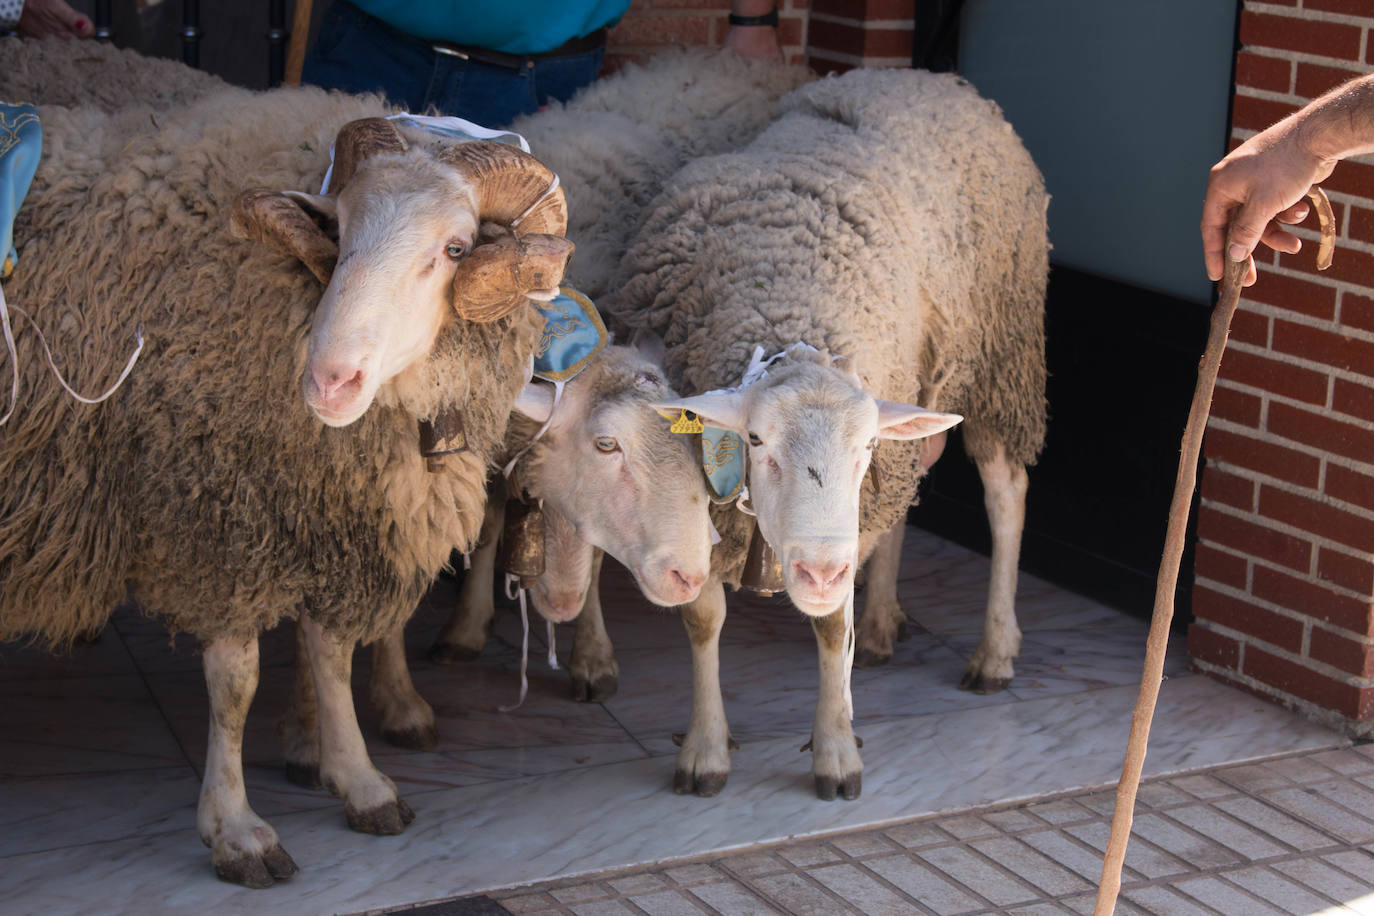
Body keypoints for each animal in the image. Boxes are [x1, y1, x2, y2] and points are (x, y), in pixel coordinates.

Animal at [0, 39, 571, 884]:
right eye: (339, 230)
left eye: (457, 248)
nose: (329, 381)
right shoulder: (215, 520)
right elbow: (235, 683)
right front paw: (237, 829)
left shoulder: (318, 510)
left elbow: (330, 651)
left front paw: (357, 778)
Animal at [604, 67, 1049, 802]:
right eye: (755, 442)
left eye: (862, 446)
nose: (817, 569)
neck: (788, 303)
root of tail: (922, 77)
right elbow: (703, 621)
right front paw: (705, 749)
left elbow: (829, 627)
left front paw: (837, 751)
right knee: (906, 501)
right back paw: (880, 626)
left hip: (998, 358)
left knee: (1006, 496)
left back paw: (994, 652)